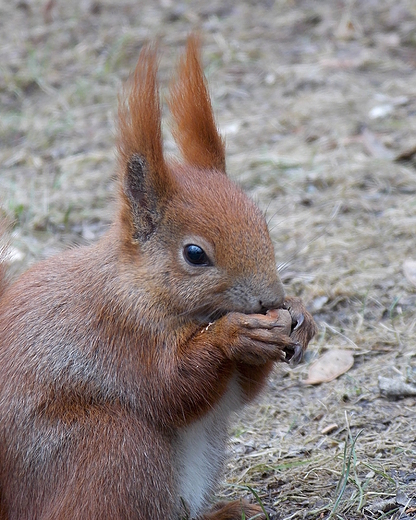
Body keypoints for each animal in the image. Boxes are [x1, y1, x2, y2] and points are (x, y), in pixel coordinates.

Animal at [0, 34, 316, 516]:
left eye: (263, 223)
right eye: (194, 254)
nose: (269, 300)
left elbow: (235, 395)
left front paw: (300, 317)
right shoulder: (116, 332)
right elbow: (170, 388)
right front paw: (234, 335)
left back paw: (227, 512)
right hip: (110, 443)